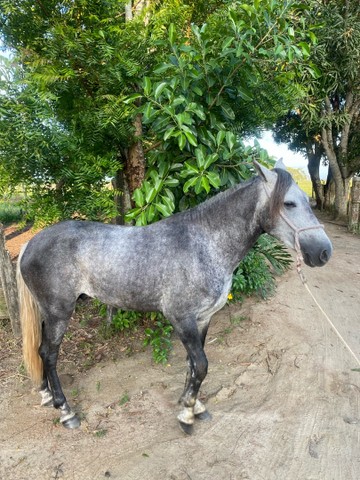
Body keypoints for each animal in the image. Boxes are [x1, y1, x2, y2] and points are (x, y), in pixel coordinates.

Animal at [16, 159, 332, 434]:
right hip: (59, 312)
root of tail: (31, 242)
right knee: (49, 354)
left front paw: (194, 405)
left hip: (48, 313)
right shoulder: (181, 318)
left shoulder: (202, 319)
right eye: (289, 203)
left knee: (40, 350)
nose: (324, 252)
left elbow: (194, 365)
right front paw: (187, 415)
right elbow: (201, 365)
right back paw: (65, 411)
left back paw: (46, 396)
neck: (203, 244)